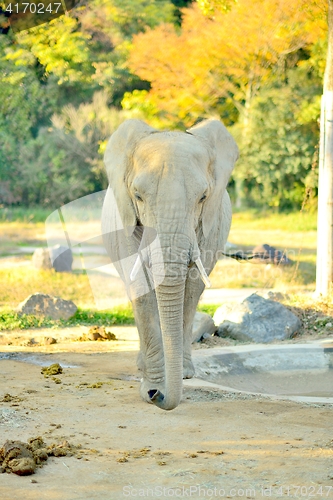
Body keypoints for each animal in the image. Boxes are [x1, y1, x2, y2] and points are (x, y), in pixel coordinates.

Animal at [100, 118, 237, 410]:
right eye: (137, 196)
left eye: (203, 197)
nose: (156, 396)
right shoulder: (126, 221)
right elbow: (141, 289)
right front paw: (151, 384)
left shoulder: (208, 226)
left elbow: (192, 289)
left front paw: (174, 378)